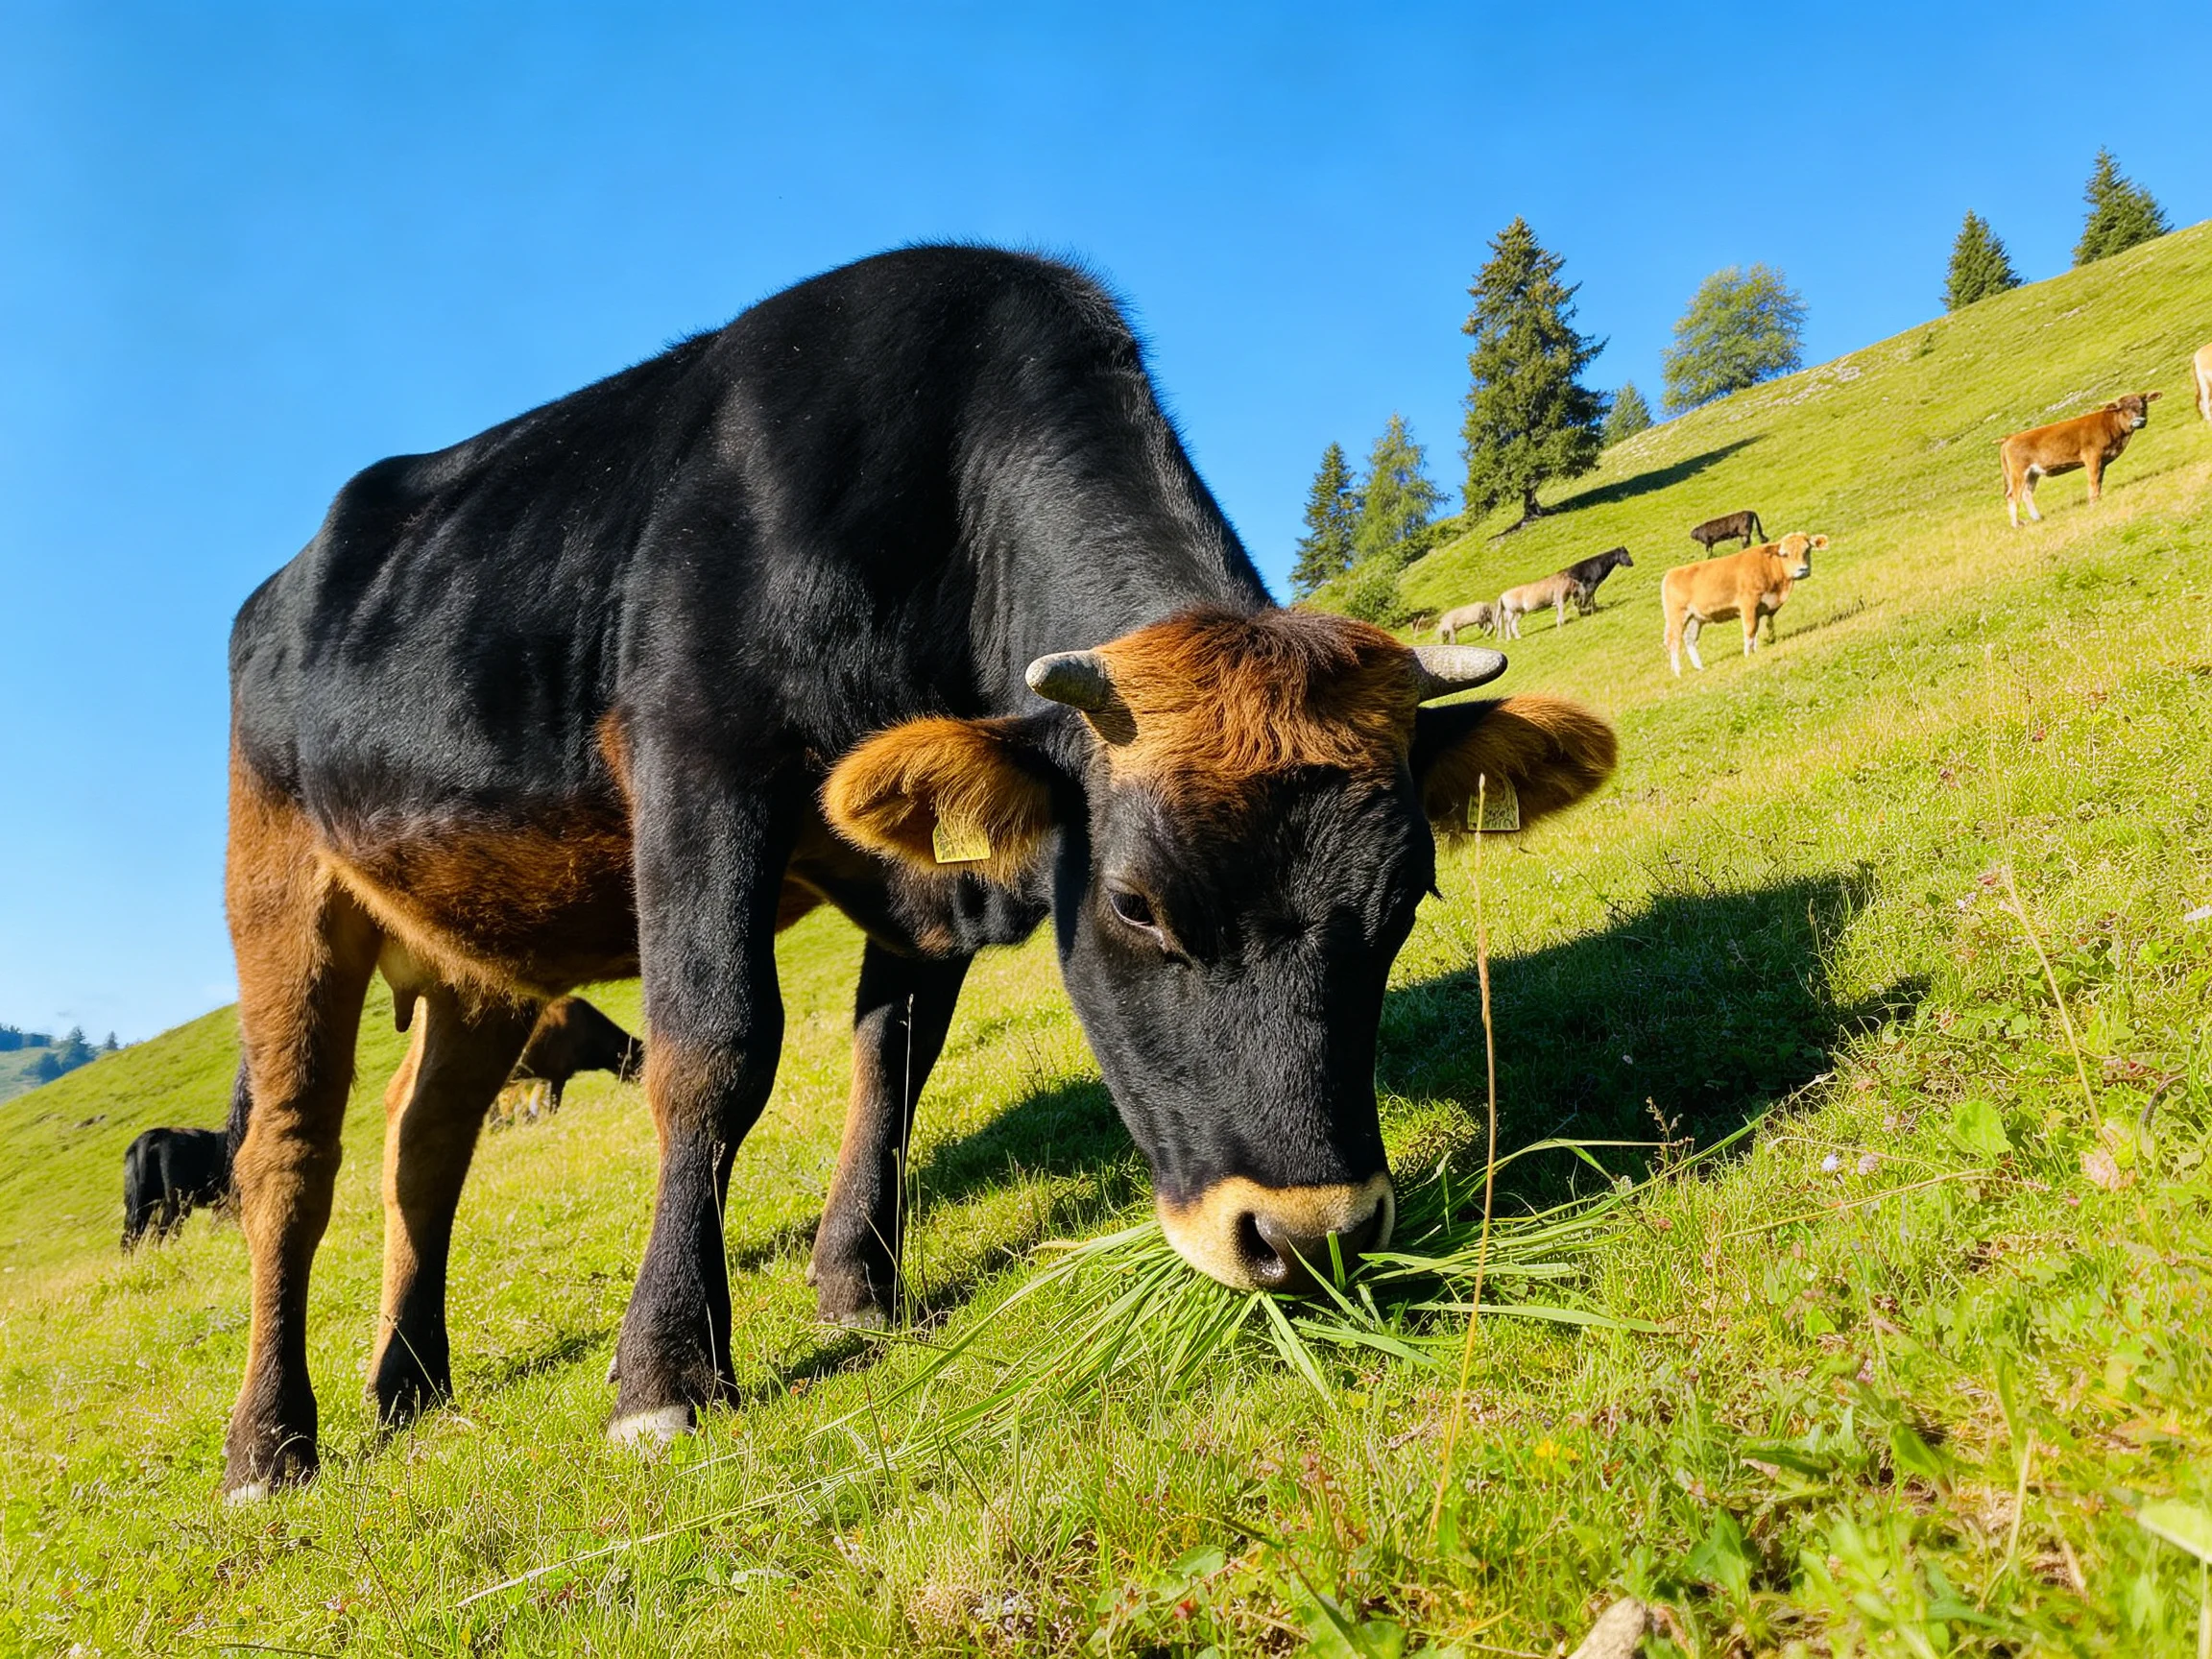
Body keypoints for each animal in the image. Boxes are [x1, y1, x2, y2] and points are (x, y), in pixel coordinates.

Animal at [1661, 533, 1826, 675]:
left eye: (1807, 550)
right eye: (1785, 554)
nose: (1802, 570)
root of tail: (1672, 573)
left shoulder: (1760, 609)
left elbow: (1758, 630)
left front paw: (1756, 651)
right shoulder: (1748, 603)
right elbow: (1750, 629)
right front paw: (1748, 654)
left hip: (1695, 618)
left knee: (1689, 640)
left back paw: (1700, 668)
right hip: (1677, 617)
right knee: (1673, 641)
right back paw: (1678, 673)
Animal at [2000, 392, 2160, 526]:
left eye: (2143, 405)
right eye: (2123, 409)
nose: (2139, 421)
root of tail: (2010, 438)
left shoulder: (2102, 460)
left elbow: (2099, 481)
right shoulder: (2092, 456)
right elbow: (2093, 480)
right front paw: (2093, 503)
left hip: (2032, 473)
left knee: (2026, 493)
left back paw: (2037, 518)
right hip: (2018, 472)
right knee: (2013, 496)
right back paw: (2017, 524)